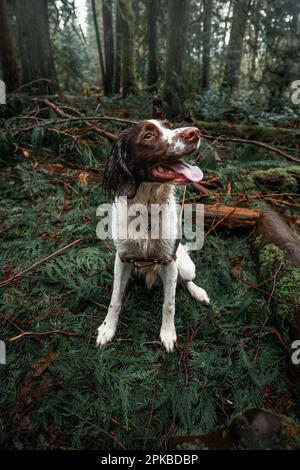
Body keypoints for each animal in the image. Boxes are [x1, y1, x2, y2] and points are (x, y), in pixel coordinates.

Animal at [97, 119, 210, 350]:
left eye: (169, 125)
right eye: (148, 135)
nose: (194, 132)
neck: (147, 209)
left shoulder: (169, 260)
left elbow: (169, 303)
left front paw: (167, 334)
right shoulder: (122, 259)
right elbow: (115, 299)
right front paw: (107, 329)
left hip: (185, 266)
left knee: (185, 281)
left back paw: (199, 292)